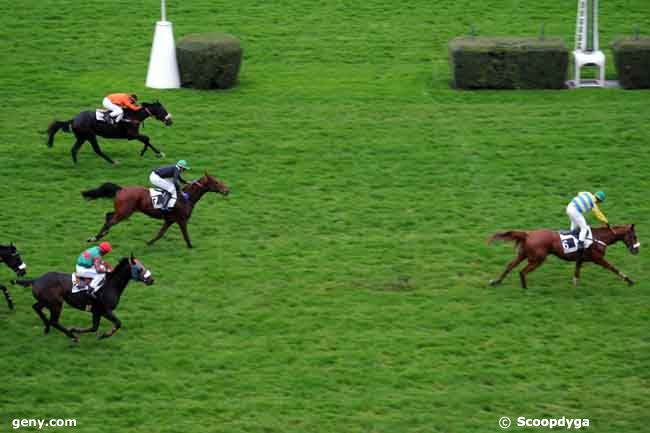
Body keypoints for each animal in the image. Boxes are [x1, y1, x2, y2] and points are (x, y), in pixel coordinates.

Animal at [12, 255, 154, 342]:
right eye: (140, 268)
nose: (151, 279)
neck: (110, 285)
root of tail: (36, 280)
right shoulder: (105, 310)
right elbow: (118, 323)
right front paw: (104, 335)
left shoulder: (97, 311)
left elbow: (94, 327)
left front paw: (77, 329)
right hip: (56, 303)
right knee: (55, 321)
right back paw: (71, 336)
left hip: (47, 301)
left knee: (36, 307)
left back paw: (47, 327)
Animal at [83, 171, 229, 246]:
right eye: (216, 182)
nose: (227, 190)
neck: (186, 198)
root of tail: (121, 189)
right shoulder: (181, 220)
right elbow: (186, 235)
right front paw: (191, 247)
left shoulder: (169, 220)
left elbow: (160, 233)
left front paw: (149, 242)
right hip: (124, 213)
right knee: (110, 221)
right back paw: (95, 238)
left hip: (122, 210)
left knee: (108, 215)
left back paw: (101, 235)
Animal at [488, 224, 636, 288]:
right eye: (634, 236)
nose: (637, 249)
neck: (598, 237)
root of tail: (528, 234)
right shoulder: (598, 259)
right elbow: (613, 268)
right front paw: (629, 280)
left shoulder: (581, 259)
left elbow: (577, 271)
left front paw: (575, 284)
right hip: (537, 259)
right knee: (522, 271)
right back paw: (525, 288)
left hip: (523, 255)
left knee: (510, 266)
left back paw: (496, 282)